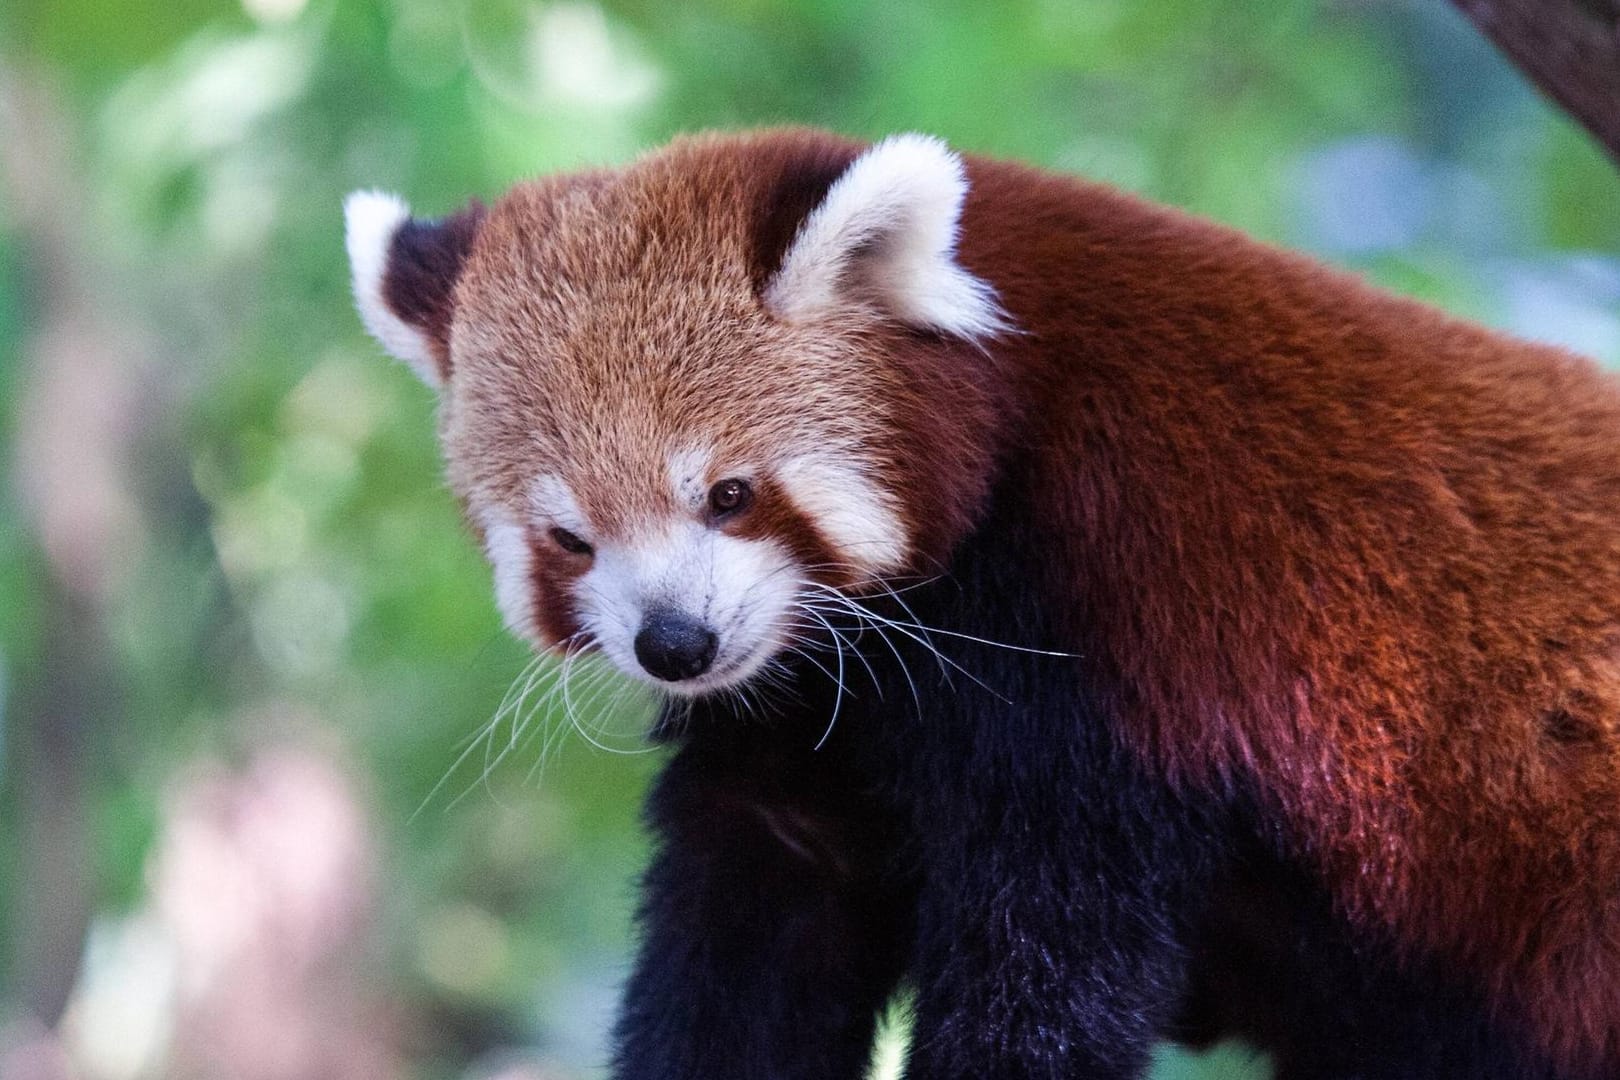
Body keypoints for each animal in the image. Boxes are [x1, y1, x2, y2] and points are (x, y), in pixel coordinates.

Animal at [341, 132, 1620, 1080]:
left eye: (729, 494)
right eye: (569, 539)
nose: (676, 645)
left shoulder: (1108, 656)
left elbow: (1044, 966)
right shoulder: (806, 725)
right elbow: (756, 925)